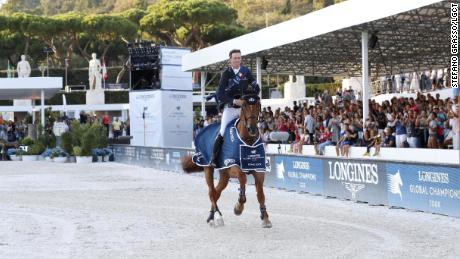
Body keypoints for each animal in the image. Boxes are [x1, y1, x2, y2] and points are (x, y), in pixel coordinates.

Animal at [181, 94, 272, 229]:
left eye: (259, 105)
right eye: (244, 106)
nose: (252, 129)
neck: (248, 140)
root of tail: (202, 131)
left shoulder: (259, 169)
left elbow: (260, 193)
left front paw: (265, 217)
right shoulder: (232, 166)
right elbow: (243, 178)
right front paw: (239, 206)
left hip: (224, 174)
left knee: (216, 192)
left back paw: (211, 217)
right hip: (208, 168)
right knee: (211, 192)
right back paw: (217, 217)